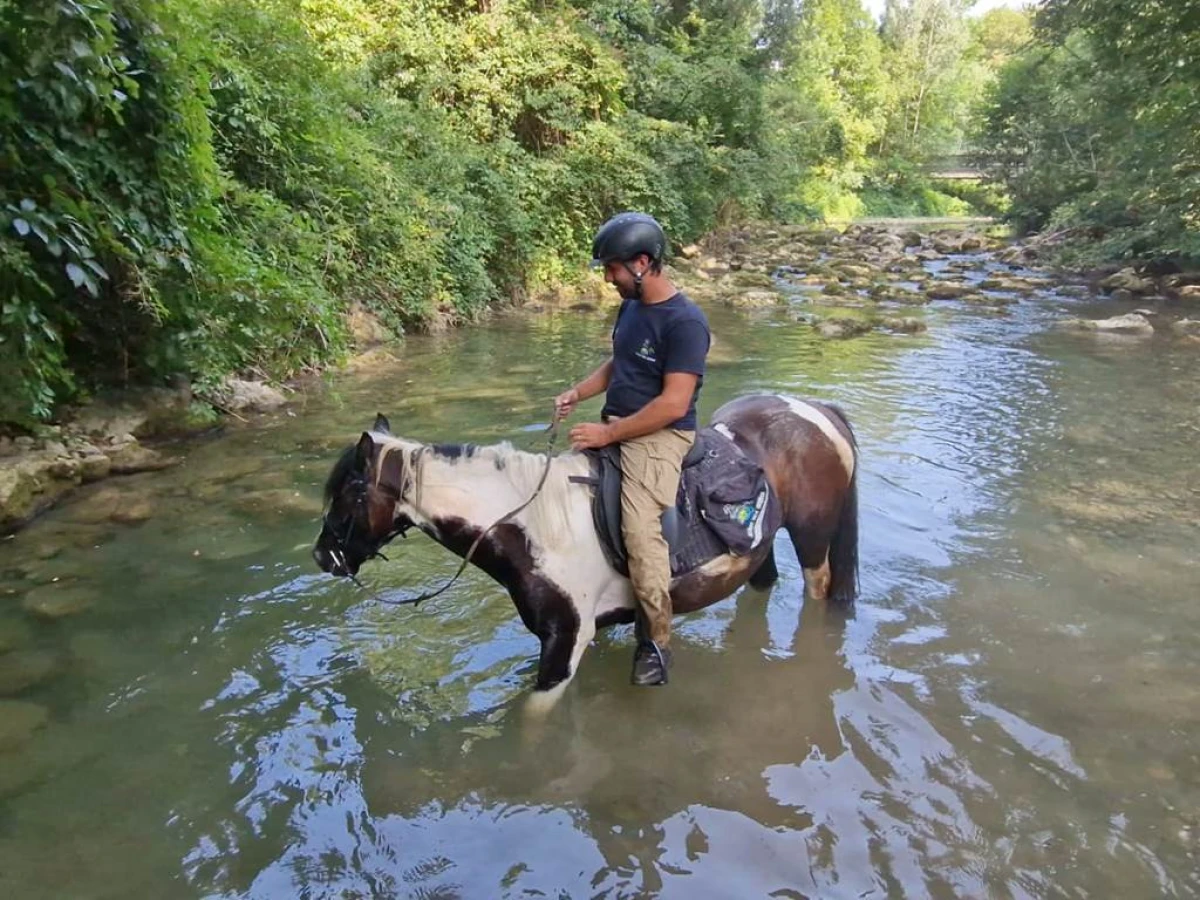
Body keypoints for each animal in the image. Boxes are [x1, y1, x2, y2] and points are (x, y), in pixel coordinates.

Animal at [314, 393, 859, 710]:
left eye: (350, 493)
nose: (323, 557)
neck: (533, 527)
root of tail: (816, 412)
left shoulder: (564, 645)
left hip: (812, 540)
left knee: (817, 590)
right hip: (757, 549)